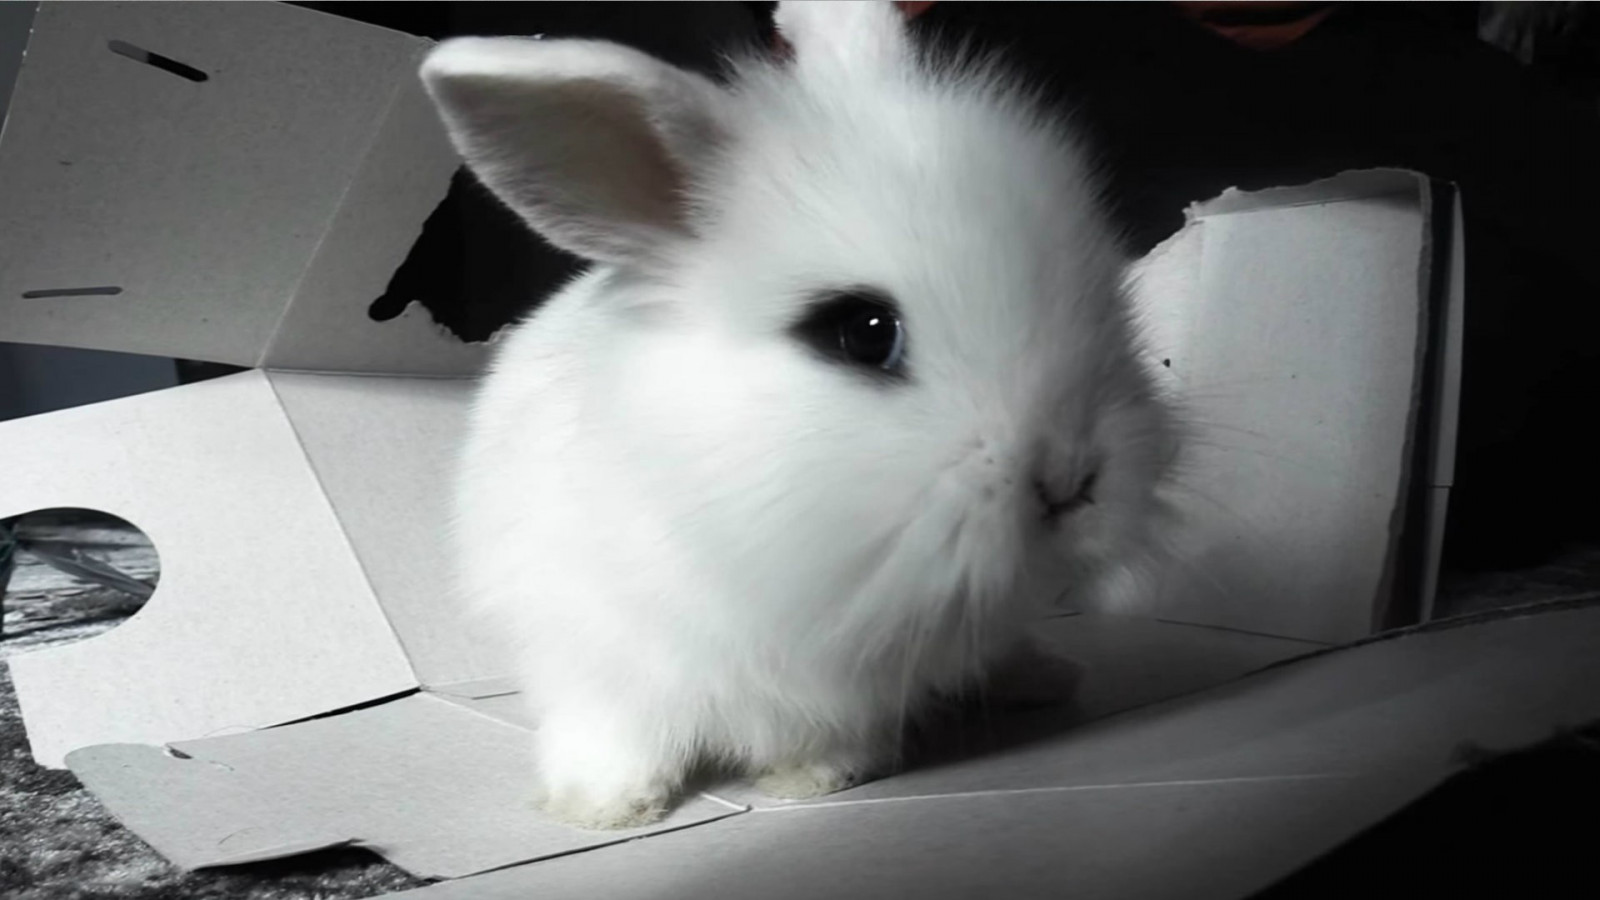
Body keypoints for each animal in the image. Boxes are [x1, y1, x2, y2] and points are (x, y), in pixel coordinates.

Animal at [421, 0, 1178, 831]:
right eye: (864, 332)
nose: (1071, 481)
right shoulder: (596, 654)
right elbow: (612, 736)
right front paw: (598, 809)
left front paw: (813, 779)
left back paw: (1049, 677)